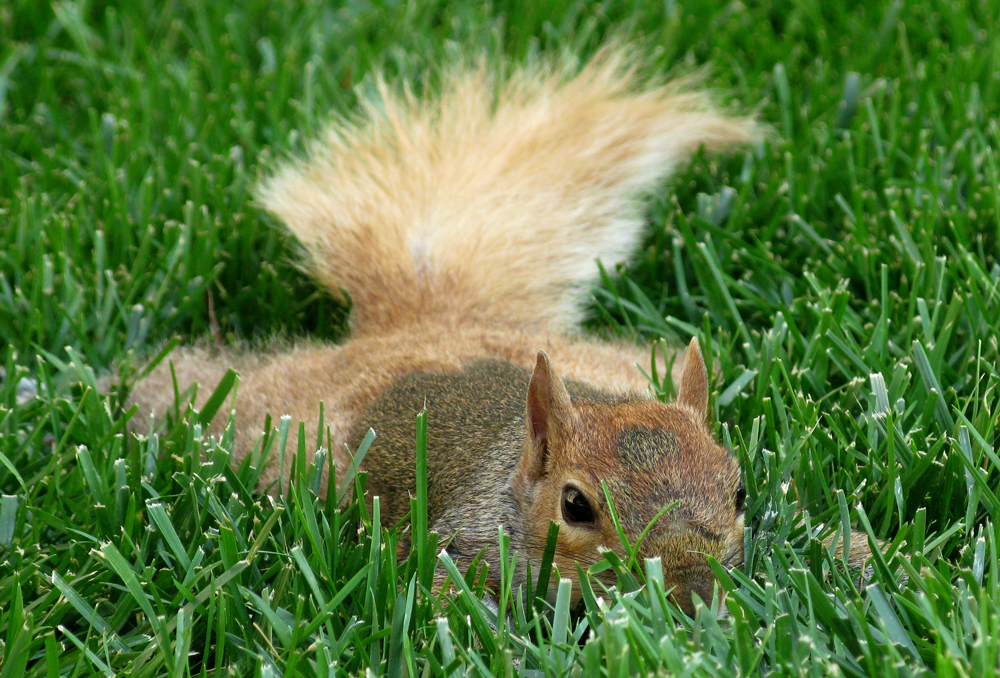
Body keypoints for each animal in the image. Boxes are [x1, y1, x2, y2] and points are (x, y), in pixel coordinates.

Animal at [127, 47, 872, 614]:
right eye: (575, 506)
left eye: (739, 492)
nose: (694, 599)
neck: (511, 476)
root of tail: (435, 324)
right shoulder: (461, 544)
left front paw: (851, 553)